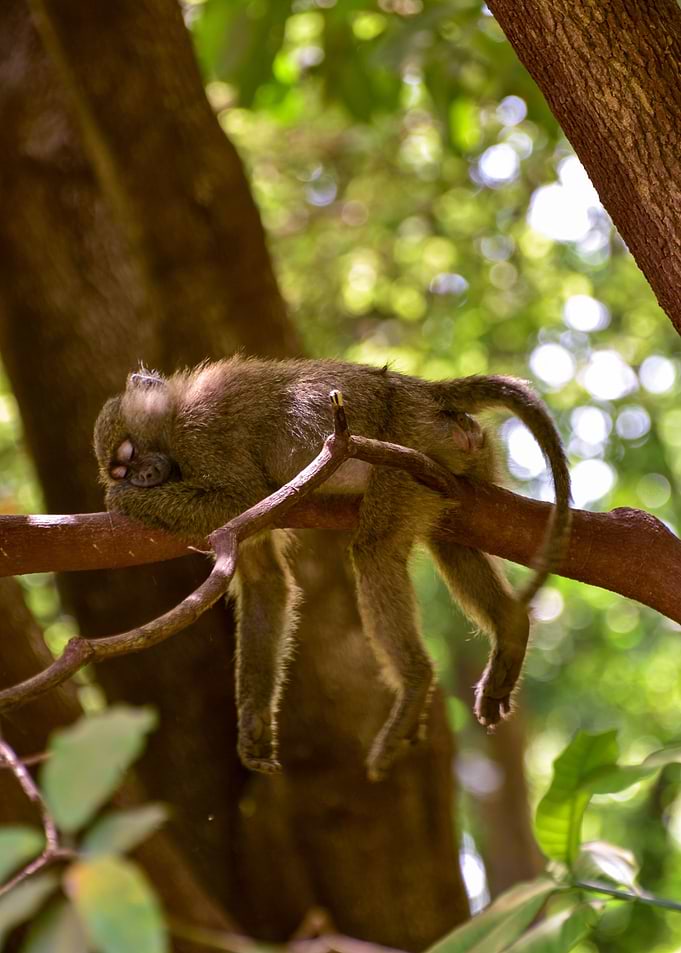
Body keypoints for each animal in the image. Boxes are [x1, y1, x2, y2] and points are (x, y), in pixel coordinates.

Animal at [94, 357, 571, 781]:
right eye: (121, 466)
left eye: (129, 455)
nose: (138, 478)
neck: (173, 413)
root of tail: (418, 390)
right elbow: (265, 583)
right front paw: (252, 726)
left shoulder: (199, 434)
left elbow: (240, 496)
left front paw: (122, 501)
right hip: (454, 455)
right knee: (451, 539)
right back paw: (509, 628)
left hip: (407, 449)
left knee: (375, 551)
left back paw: (416, 681)